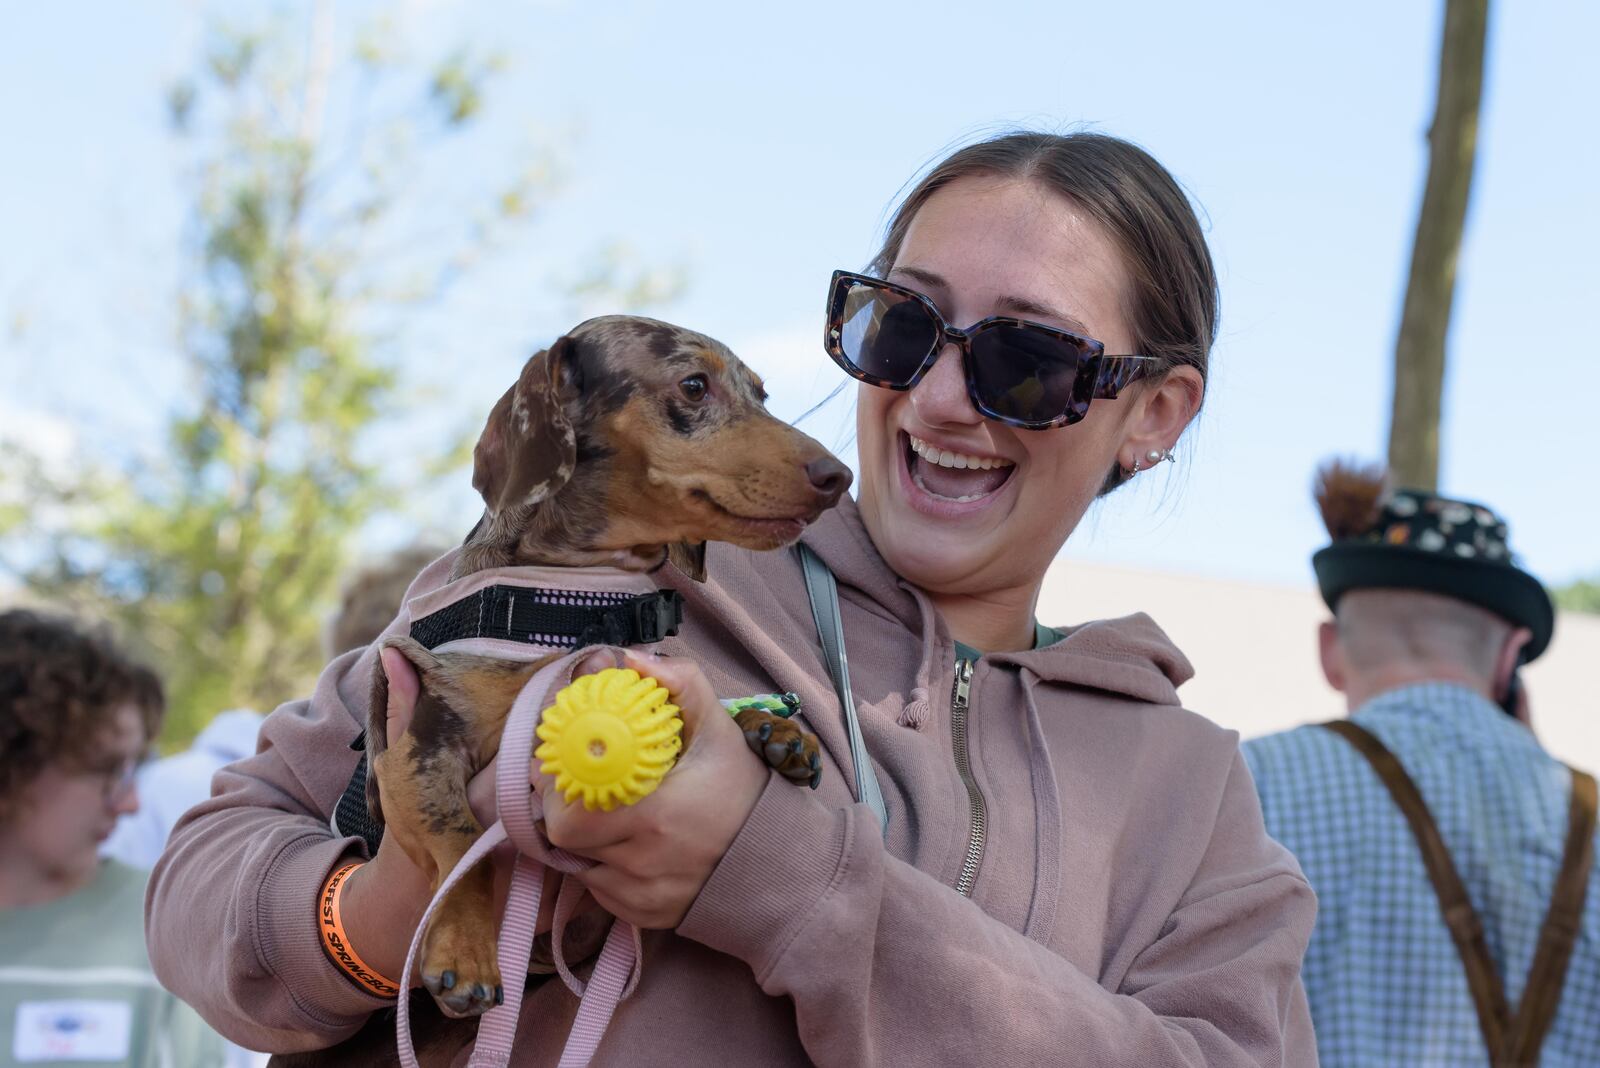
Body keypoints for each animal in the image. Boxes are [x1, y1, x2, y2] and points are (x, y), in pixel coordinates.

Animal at [364, 314, 851, 1016]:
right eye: (694, 385)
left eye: (762, 395)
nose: (839, 477)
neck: (577, 608)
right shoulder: (415, 751)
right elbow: (461, 844)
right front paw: (464, 947)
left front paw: (770, 726)